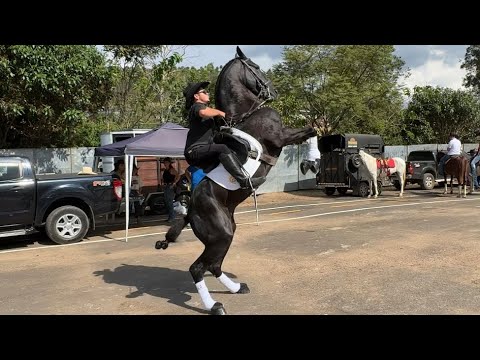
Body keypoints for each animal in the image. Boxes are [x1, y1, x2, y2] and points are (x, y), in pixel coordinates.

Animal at [158, 46, 316, 314]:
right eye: (256, 66)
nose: (274, 92)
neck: (246, 113)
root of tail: (190, 211)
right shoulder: (280, 137)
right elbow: (312, 129)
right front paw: (310, 163)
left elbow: (314, 130)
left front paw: (310, 164)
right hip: (220, 235)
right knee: (198, 268)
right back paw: (215, 306)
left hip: (227, 232)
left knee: (213, 266)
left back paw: (236, 288)